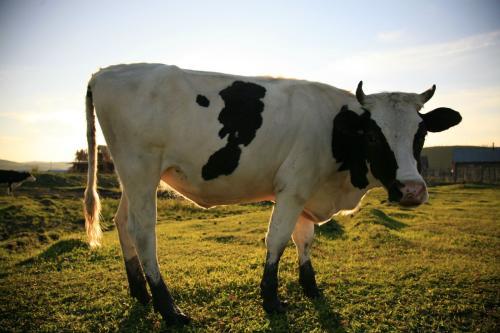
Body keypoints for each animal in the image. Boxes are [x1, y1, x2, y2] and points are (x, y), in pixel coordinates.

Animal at [82, 63, 460, 324]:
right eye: (371, 135)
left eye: (421, 133)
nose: (411, 189)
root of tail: (106, 71)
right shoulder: (293, 188)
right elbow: (277, 240)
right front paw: (271, 299)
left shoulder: (306, 192)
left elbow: (304, 240)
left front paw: (311, 288)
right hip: (141, 169)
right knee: (144, 232)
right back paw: (169, 308)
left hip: (132, 176)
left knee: (122, 222)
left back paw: (140, 293)